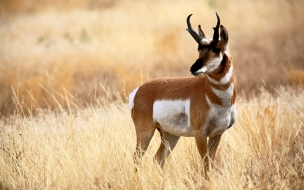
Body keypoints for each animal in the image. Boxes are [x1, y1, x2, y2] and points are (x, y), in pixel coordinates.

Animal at [129, 12, 236, 168]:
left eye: (217, 49)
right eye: (199, 49)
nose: (194, 68)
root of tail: (137, 91)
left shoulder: (217, 134)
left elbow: (210, 162)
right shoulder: (200, 133)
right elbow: (205, 163)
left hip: (171, 135)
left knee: (158, 158)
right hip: (146, 133)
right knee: (137, 158)